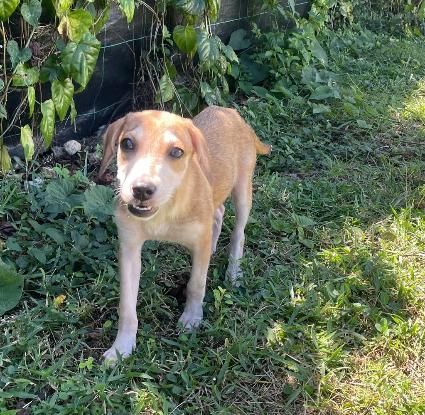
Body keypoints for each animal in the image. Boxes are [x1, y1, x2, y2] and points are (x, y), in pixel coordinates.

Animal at [99, 106, 270, 361]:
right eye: (127, 143)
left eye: (176, 152)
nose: (141, 190)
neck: (165, 211)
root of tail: (228, 111)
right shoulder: (129, 249)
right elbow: (127, 307)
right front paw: (122, 347)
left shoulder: (198, 242)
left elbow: (196, 284)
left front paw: (192, 318)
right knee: (218, 213)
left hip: (242, 189)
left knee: (239, 233)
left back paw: (233, 273)